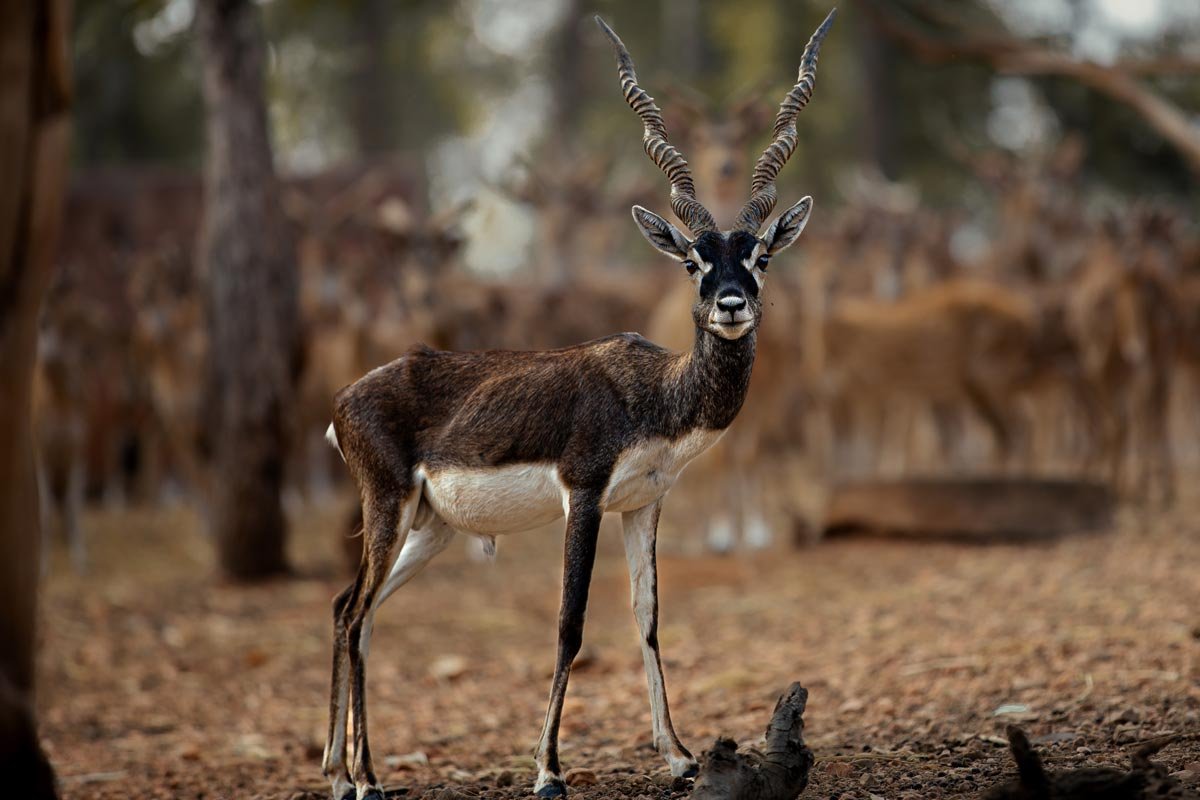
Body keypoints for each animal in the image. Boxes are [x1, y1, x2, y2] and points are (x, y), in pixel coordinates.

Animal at [320, 11, 836, 800]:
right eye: (694, 259)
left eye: (760, 256)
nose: (730, 304)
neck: (655, 392)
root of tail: (347, 397)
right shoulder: (585, 494)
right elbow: (570, 623)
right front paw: (548, 772)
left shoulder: (644, 504)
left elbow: (647, 618)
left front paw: (680, 757)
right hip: (387, 506)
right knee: (353, 617)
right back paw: (369, 779)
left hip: (429, 527)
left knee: (356, 611)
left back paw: (341, 774)